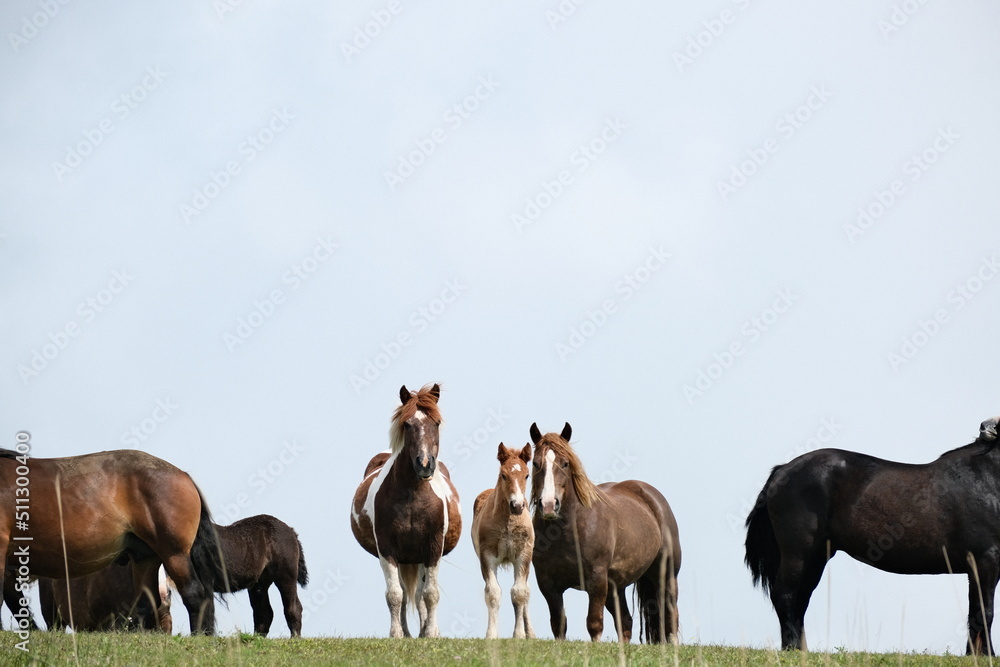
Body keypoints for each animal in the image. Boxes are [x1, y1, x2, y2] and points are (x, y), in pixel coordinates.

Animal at [350, 383, 462, 638]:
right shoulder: (387, 548)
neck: (413, 494)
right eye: (407, 424)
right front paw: (397, 634)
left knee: (420, 594)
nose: (425, 465)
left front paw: (430, 634)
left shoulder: (433, 546)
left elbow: (430, 594)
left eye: (436, 422)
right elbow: (395, 595)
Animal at [472, 442, 535, 639]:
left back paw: (531, 633)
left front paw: (520, 635)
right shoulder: (487, 556)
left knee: (527, 590)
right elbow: (493, 592)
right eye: (503, 475)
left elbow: (520, 593)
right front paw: (491, 635)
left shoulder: (523, 554)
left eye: (527, 475)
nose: (517, 505)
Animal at [529, 423, 681, 643]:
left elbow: (594, 623)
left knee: (670, 615)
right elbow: (559, 624)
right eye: (535, 463)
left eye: (565, 463)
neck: (567, 531)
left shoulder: (597, 579)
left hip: (666, 575)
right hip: (616, 588)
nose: (549, 505)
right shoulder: (548, 584)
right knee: (625, 622)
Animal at [745, 416, 1000, 654]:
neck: (986, 479)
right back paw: (791, 648)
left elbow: (975, 610)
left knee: (801, 599)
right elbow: (984, 611)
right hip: (797, 552)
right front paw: (986, 655)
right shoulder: (985, 559)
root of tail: (782, 469)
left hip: (816, 557)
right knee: (785, 595)